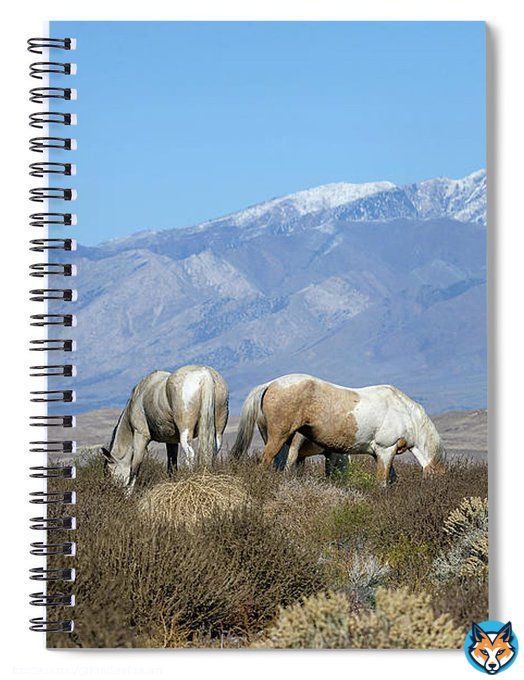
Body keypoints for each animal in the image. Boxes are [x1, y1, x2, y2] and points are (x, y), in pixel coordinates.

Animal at [231, 374, 446, 485]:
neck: (406, 415)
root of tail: (270, 384)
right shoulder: (386, 450)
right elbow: (382, 482)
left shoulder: (382, 453)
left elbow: (391, 479)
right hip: (279, 438)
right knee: (266, 461)